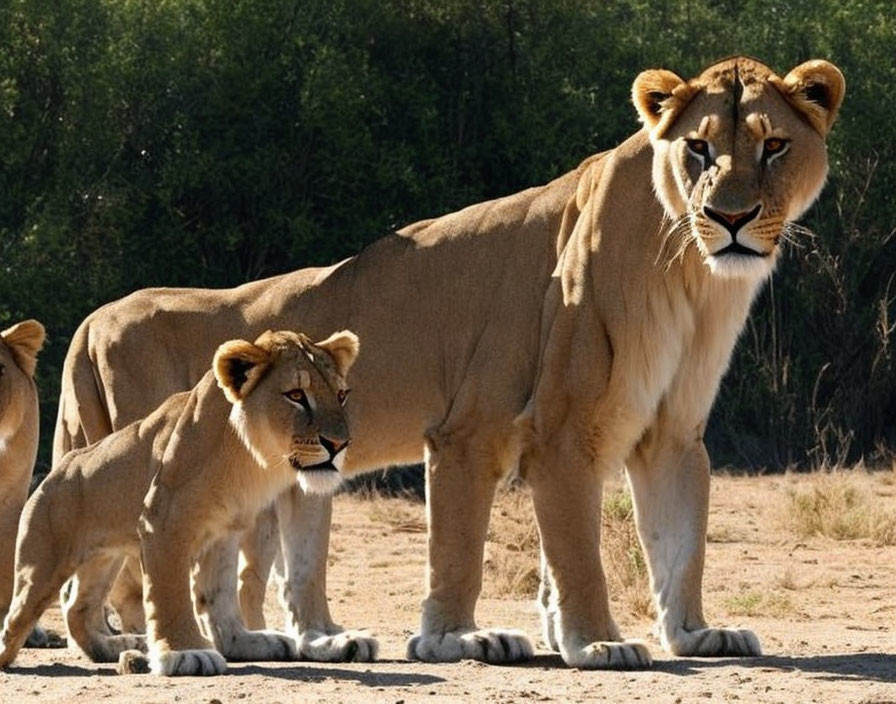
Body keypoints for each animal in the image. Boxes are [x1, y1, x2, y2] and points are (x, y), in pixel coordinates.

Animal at [0, 330, 372, 676]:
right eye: (296, 395)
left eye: (341, 395)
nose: (340, 444)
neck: (253, 461)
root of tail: (61, 467)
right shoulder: (162, 519)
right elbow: (170, 589)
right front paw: (185, 652)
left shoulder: (226, 528)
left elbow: (219, 593)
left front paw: (244, 641)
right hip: (42, 565)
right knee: (18, 617)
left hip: (104, 558)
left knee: (78, 608)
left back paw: (121, 647)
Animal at [57, 57, 848, 668]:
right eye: (699, 150)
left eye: (774, 146)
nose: (731, 218)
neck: (690, 275)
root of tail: (94, 319)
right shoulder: (515, 428)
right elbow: (523, 550)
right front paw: (525, 641)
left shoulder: (671, 433)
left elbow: (679, 541)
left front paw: (692, 633)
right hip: (145, 470)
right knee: (113, 571)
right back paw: (125, 647)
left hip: (269, 480)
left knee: (249, 572)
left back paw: (298, 641)